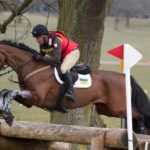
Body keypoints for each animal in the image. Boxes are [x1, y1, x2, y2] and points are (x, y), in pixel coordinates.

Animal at [0, 39, 150, 134]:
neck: (33, 67)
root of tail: (124, 76)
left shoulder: (37, 98)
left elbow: (10, 92)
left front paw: (8, 116)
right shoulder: (28, 101)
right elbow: (6, 92)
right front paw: (6, 114)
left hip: (118, 107)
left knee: (140, 114)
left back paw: (143, 131)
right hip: (106, 109)